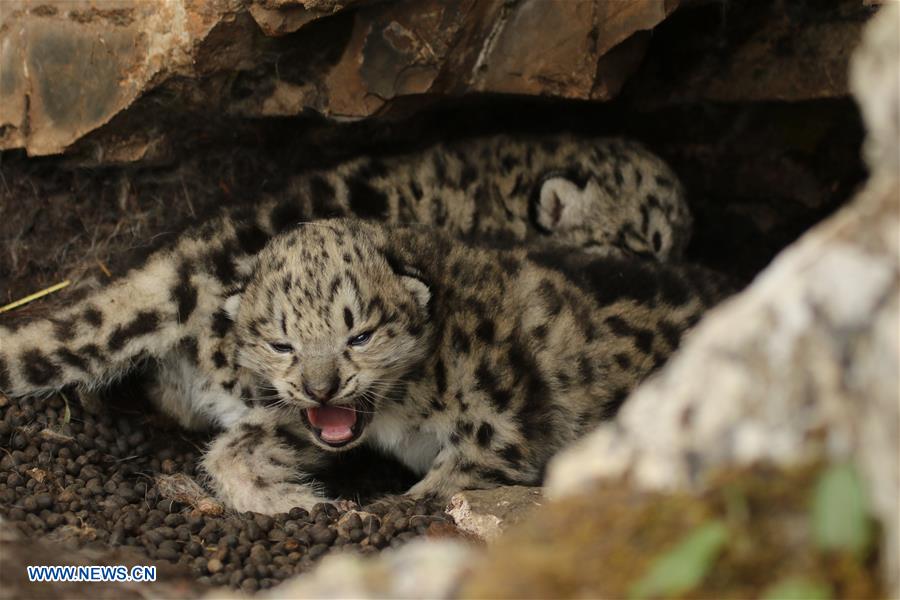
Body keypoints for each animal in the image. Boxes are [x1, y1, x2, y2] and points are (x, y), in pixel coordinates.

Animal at [0, 218, 731, 514]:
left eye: (361, 335)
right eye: (283, 343)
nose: (321, 385)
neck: (404, 415)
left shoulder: (498, 432)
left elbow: (441, 486)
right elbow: (235, 451)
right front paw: (296, 500)